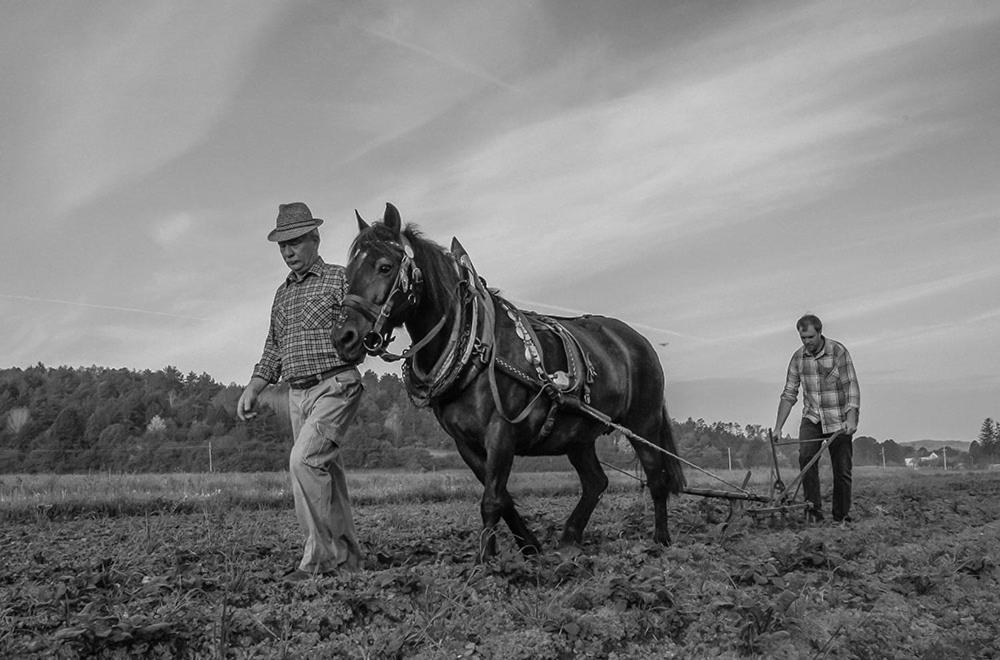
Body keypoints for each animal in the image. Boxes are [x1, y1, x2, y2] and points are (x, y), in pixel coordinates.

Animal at [332, 204, 684, 560]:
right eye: (349, 272)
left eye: (385, 266)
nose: (343, 337)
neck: (475, 345)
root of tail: (637, 340)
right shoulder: (465, 443)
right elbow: (503, 499)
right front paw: (529, 548)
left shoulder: (501, 432)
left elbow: (491, 500)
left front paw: (486, 562)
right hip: (578, 435)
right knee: (596, 482)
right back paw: (570, 538)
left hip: (643, 423)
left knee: (656, 477)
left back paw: (661, 542)